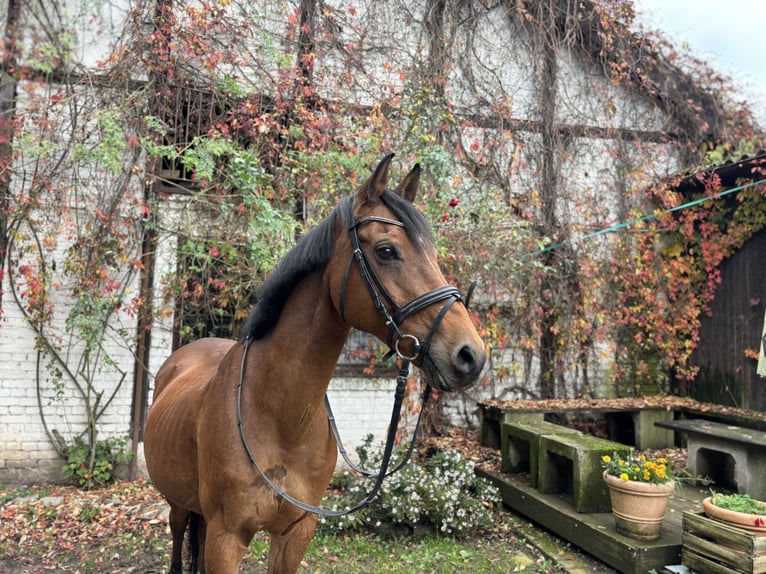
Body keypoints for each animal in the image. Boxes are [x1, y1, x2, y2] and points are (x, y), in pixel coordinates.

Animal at [146, 155, 486, 572]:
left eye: (434, 257)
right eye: (387, 251)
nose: (470, 355)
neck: (278, 419)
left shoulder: (296, 533)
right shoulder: (227, 538)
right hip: (178, 504)